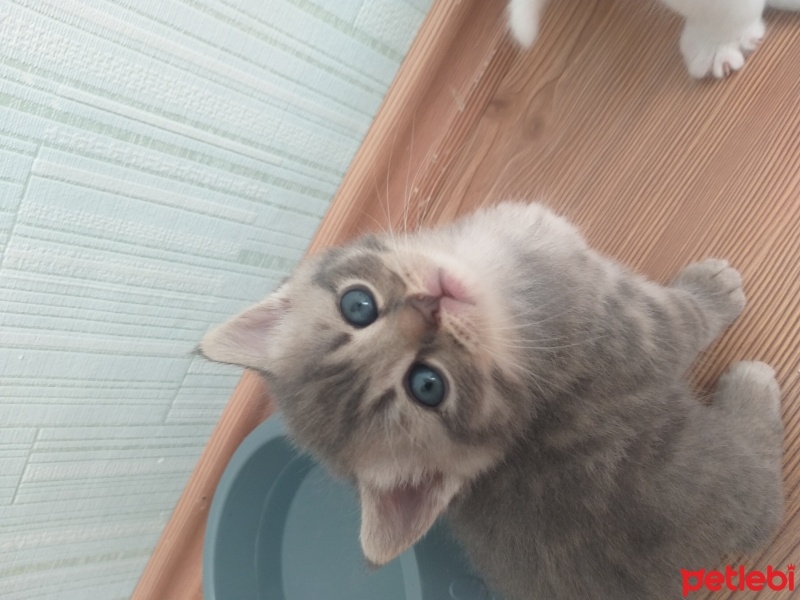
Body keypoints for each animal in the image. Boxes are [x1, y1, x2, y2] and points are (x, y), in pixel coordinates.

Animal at [198, 203, 780, 600]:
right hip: (721, 478)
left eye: (357, 305)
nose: (429, 305)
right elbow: (682, 317)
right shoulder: (628, 328)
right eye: (427, 385)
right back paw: (753, 388)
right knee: (765, 502)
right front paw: (712, 290)